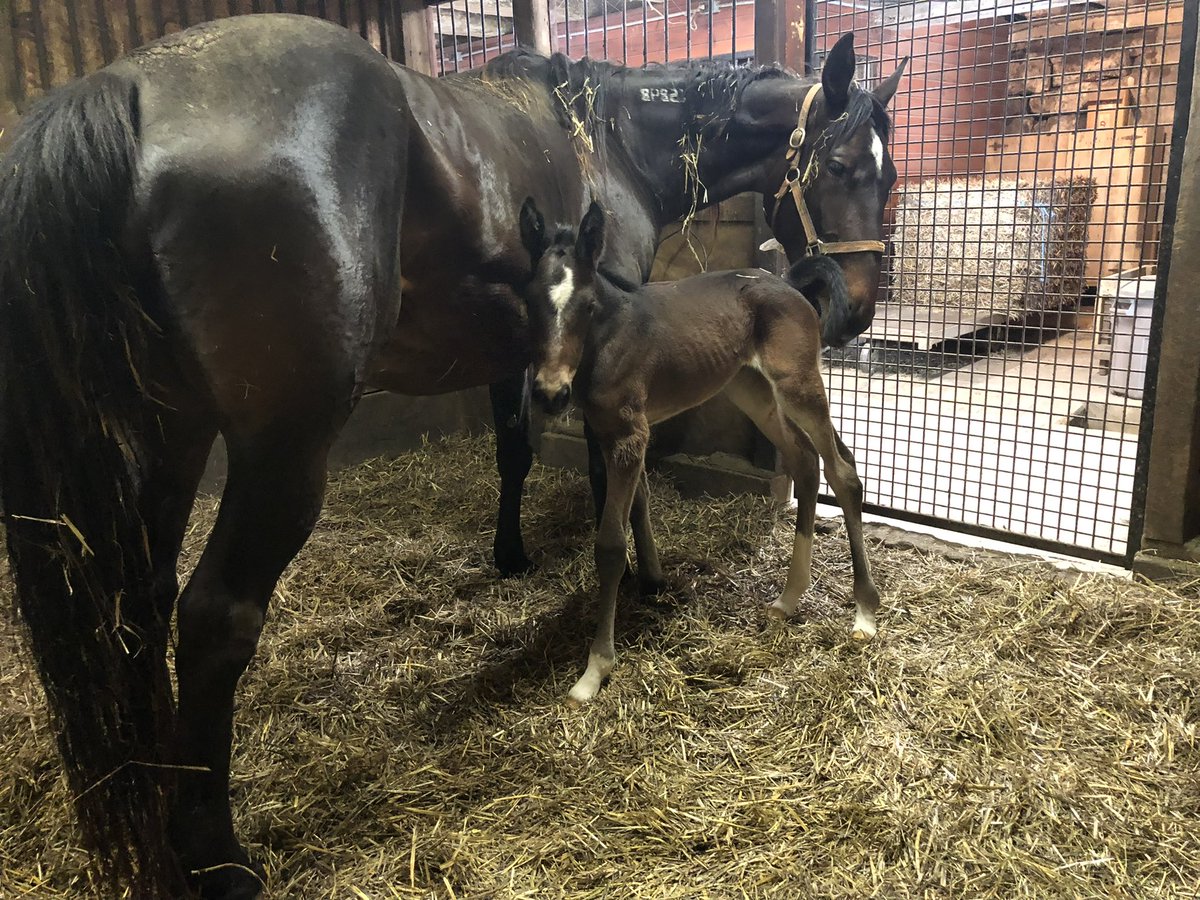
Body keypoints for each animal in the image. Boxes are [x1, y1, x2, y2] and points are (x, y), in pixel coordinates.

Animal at [516, 198, 881, 706]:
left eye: (586, 307)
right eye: (530, 303)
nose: (551, 393)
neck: (608, 338)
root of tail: (789, 283)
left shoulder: (630, 436)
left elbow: (610, 544)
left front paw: (595, 669)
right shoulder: (608, 433)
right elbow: (633, 511)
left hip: (797, 384)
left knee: (841, 470)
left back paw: (864, 612)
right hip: (752, 389)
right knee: (806, 463)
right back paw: (788, 599)